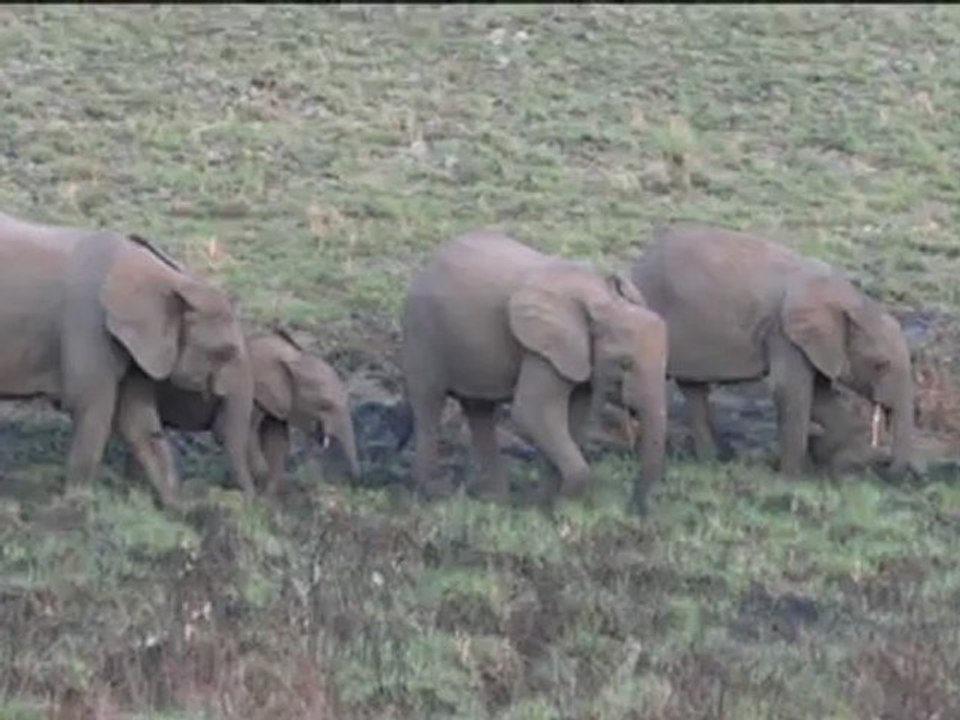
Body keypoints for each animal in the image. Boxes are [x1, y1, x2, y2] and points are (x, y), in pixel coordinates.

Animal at [0, 209, 253, 507]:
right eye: (225, 352)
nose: (255, 506)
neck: (169, 278)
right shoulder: (88, 326)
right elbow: (92, 406)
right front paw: (78, 503)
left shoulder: (138, 350)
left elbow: (137, 419)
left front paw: (179, 508)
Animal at [154, 328, 361, 495]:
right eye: (325, 405)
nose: (353, 482)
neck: (289, 356)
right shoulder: (250, 393)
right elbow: (237, 432)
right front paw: (261, 483)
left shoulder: (275, 401)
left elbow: (277, 441)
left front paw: (270, 497)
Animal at [401, 230, 668, 515]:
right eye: (625, 364)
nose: (635, 510)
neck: (606, 304)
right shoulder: (544, 349)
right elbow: (532, 413)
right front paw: (560, 510)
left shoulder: (577, 358)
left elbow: (571, 417)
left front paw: (546, 506)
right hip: (422, 333)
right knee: (428, 405)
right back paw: (433, 496)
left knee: (479, 410)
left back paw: (496, 502)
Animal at [630, 223, 915, 478]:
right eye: (881, 365)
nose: (889, 470)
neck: (849, 298)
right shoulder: (784, 334)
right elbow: (792, 390)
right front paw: (793, 478)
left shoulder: (813, 344)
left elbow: (819, 394)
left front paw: (842, 459)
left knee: (693, 388)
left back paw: (712, 460)